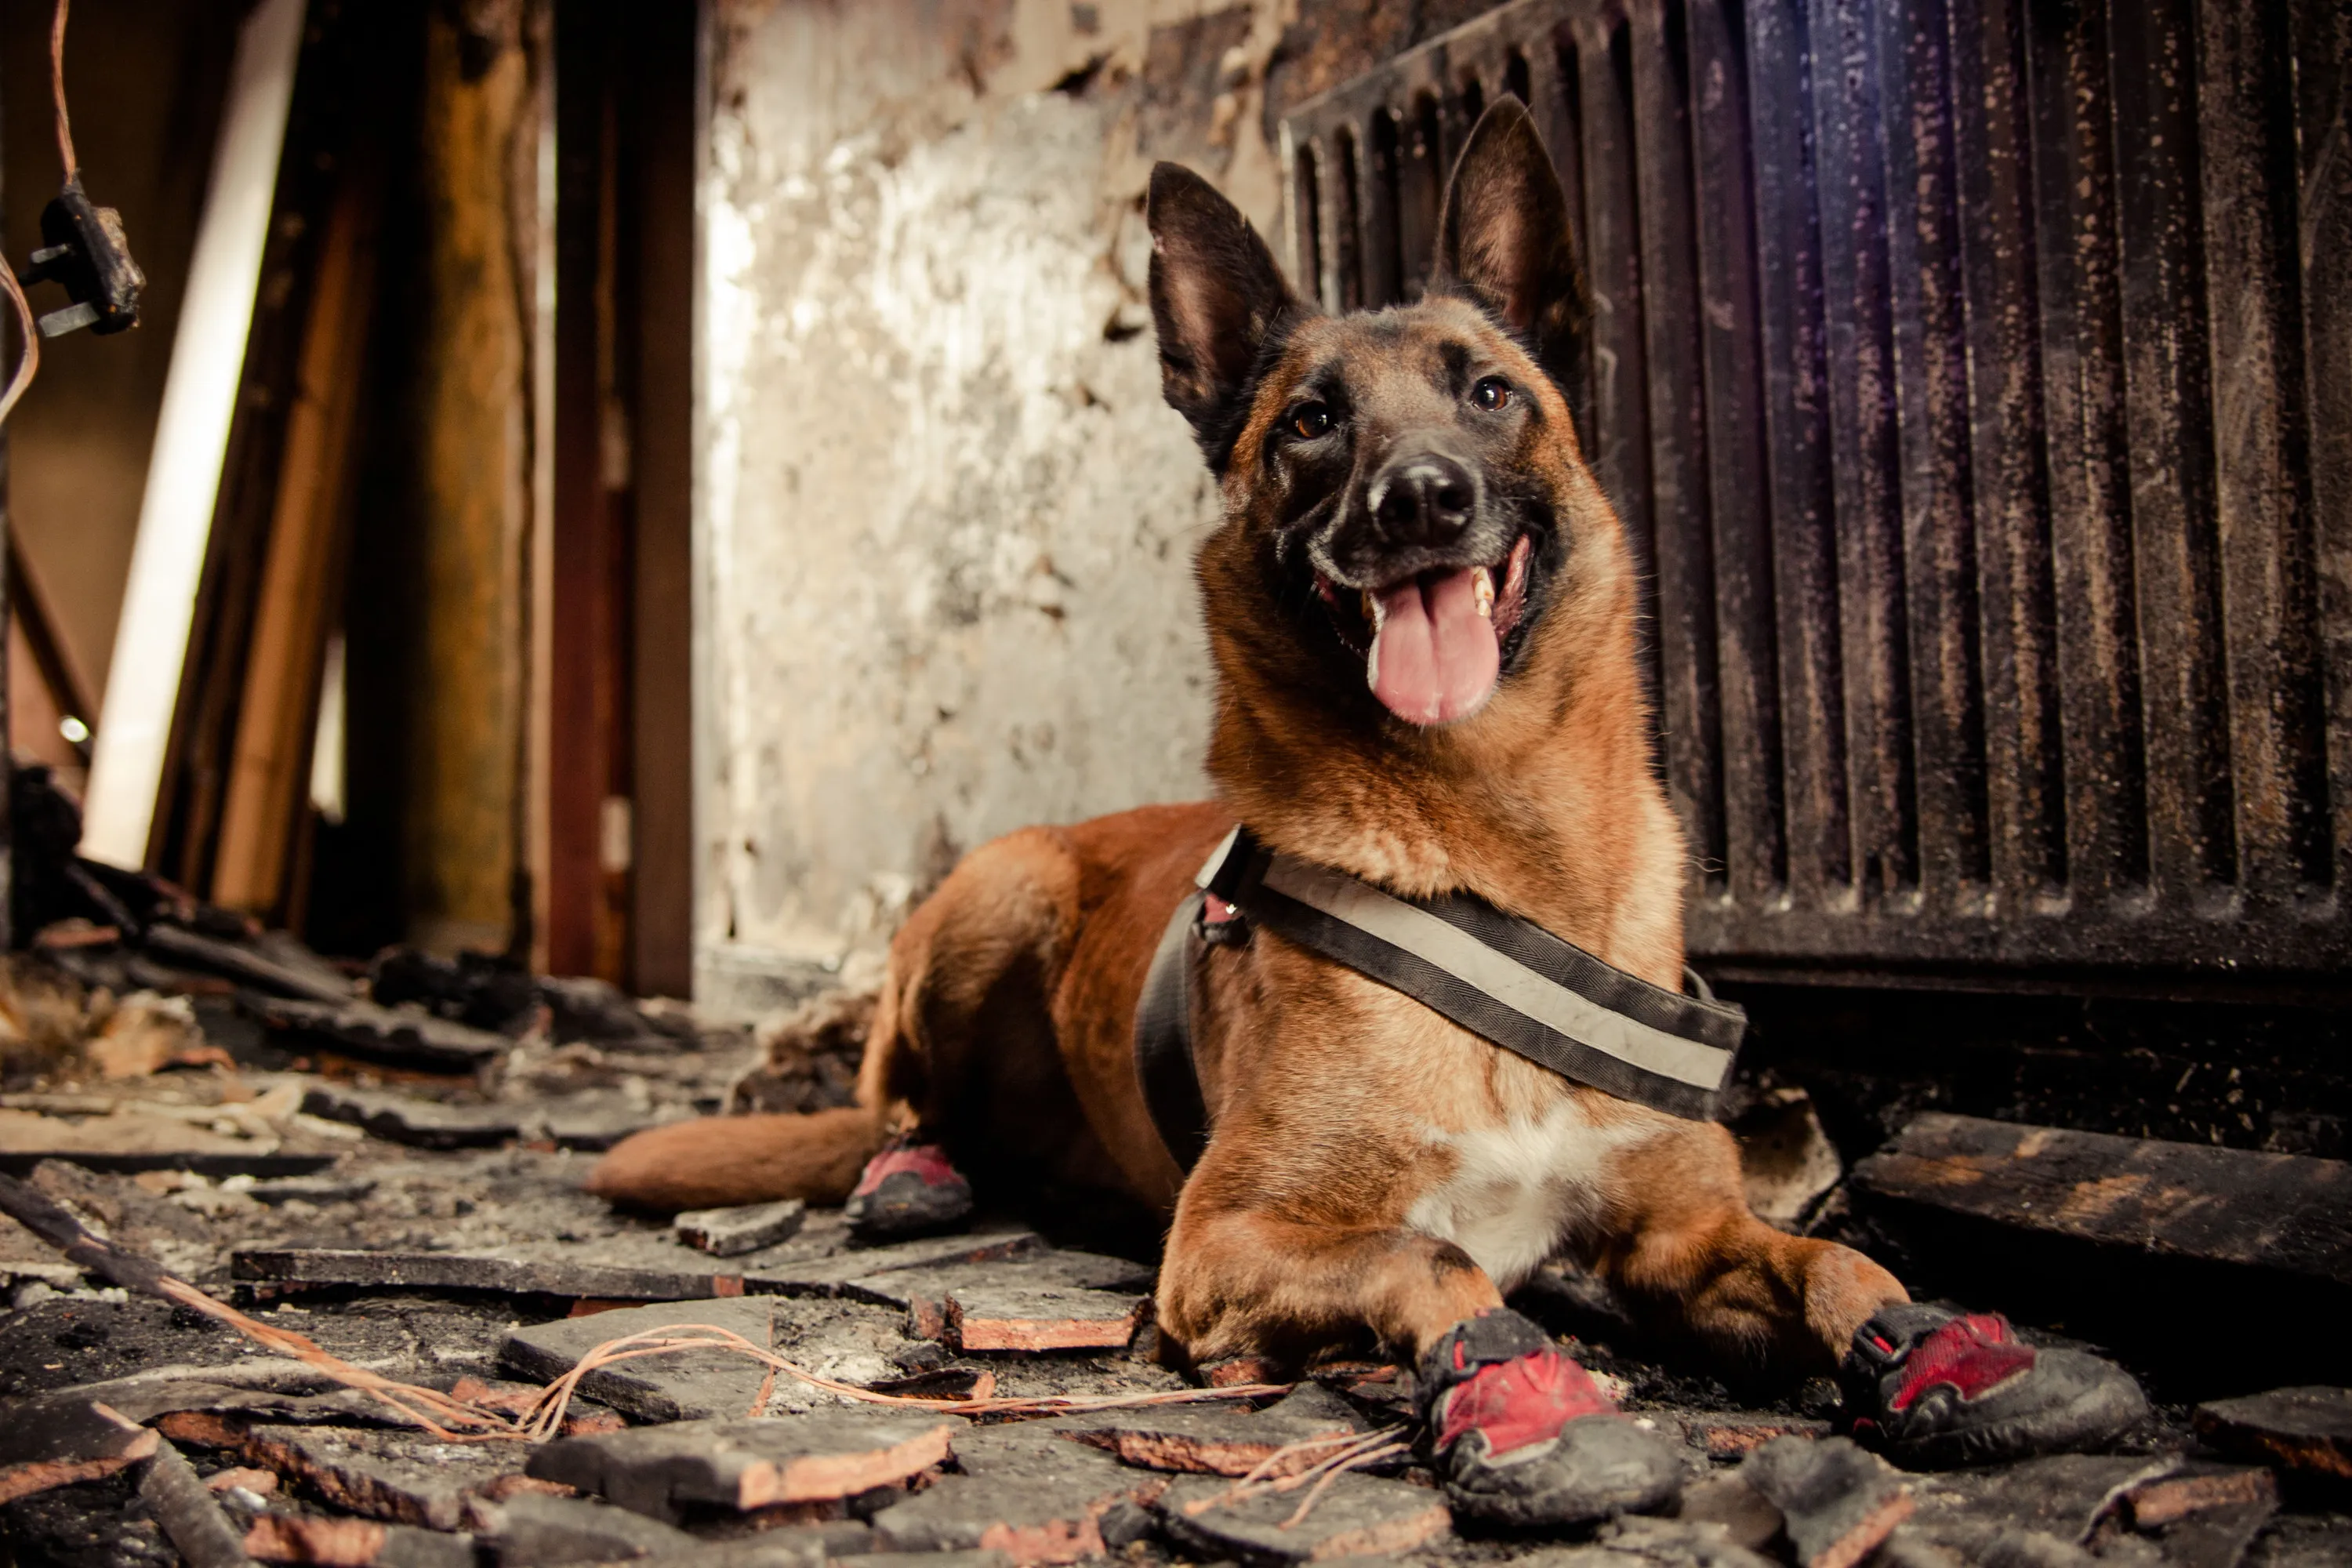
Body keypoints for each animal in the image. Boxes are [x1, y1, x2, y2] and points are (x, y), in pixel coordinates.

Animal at [593, 100, 2154, 1523]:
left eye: (1491, 395)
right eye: (1311, 422)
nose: (1420, 500)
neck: (1495, 851)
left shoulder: (1683, 1229)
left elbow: (1831, 1257)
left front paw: (1943, 1344)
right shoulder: (1231, 1241)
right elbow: (1434, 1259)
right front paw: (1521, 1399)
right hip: (1000, 891)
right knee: (898, 1100)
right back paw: (913, 1173)